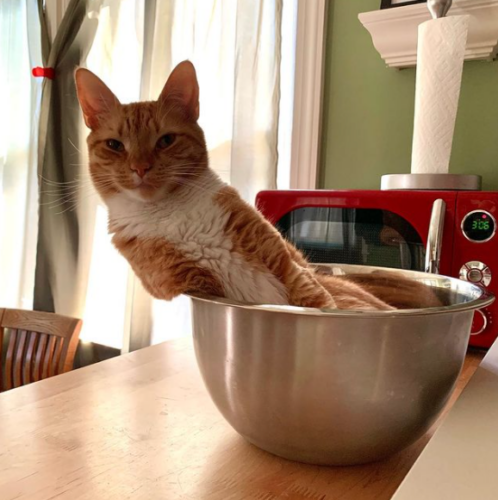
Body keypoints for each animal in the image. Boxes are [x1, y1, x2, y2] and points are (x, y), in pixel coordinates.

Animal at [74, 60, 392, 310]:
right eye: (115, 145)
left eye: (166, 140)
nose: (140, 168)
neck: (167, 214)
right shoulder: (191, 280)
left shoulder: (286, 263)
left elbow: (317, 301)